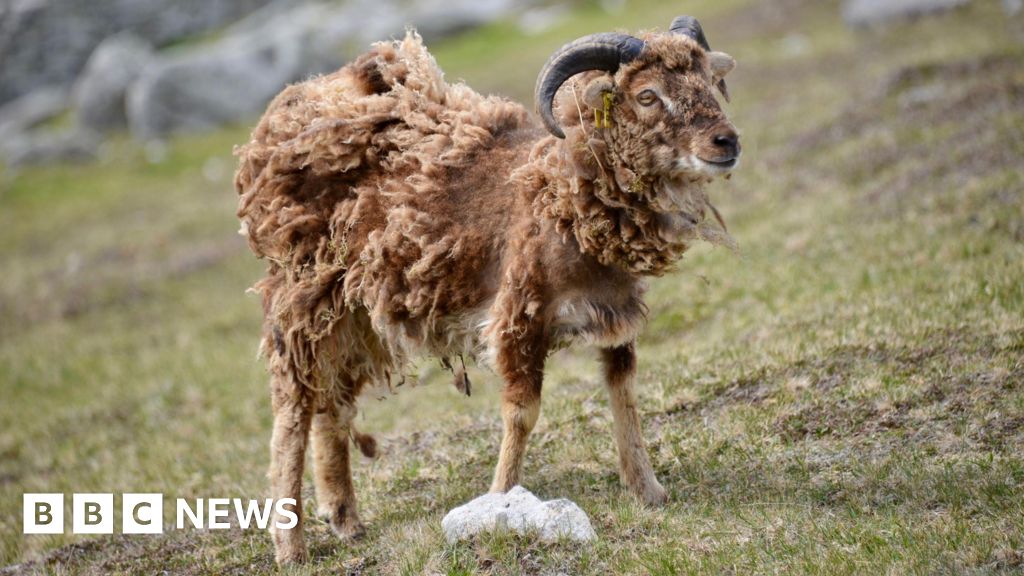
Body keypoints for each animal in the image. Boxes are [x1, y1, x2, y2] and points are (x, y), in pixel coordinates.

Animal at [234, 15, 740, 564]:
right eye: (647, 95)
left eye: (710, 81)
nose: (726, 142)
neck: (562, 195)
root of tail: (287, 110)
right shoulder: (519, 317)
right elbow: (522, 414)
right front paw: (500, 501)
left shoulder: (615, 315)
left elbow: (622, 393)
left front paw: (649, 492)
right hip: (302, 299)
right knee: (292, 412)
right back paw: (291, 546)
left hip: (353, 313)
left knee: (333, 405)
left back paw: (346, 520)